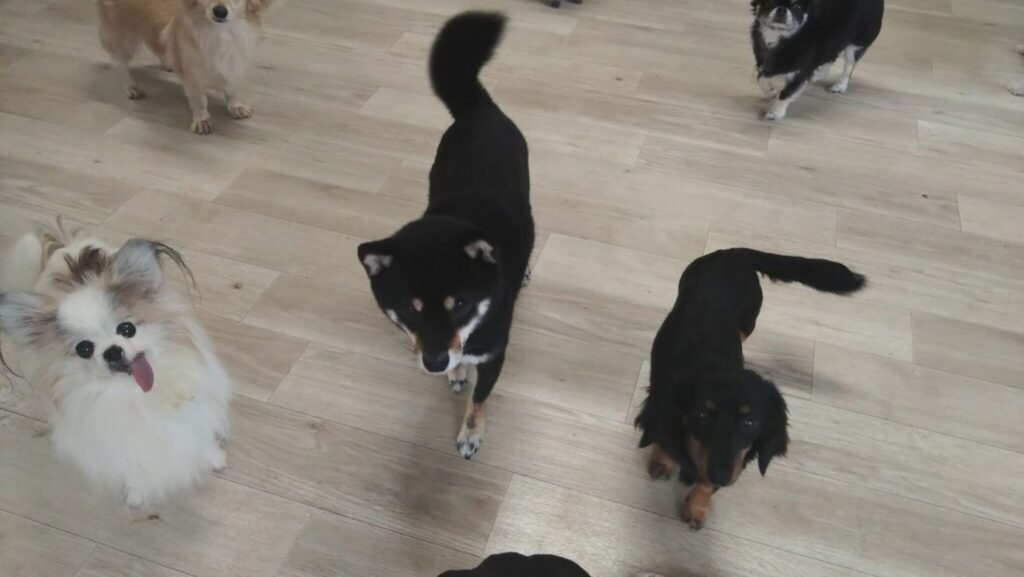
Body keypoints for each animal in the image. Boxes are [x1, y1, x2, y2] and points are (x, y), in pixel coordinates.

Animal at [0, 220, 232, 507]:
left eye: (127, 329)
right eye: (84, 348)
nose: (112, 351)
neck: (134, 393)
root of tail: (63, 243)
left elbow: (200, 436)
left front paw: (213, 458)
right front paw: (136, 494)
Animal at [95, 0, 267, 134]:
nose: (219, 11)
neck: (221, 34)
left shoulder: (235, 65)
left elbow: (232, 89)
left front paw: (236, 106)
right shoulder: (192, 75)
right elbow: (200, 100)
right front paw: (202, 120)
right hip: (123, 39)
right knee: (120, 64)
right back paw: (131, 87)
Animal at [356, 12, 534, 459]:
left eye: (461, 304)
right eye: (411, 308)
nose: (434, 363)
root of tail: (480, 108)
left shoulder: (495, 350)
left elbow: (480, 398)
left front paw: (471, 433)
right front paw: (455, 374)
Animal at [635, 248, 866, 529]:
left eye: (750, 422)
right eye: (701, 414)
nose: (721, 476)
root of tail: (733, 252)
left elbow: (705, 486)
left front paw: (697, 507)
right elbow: (666, 440)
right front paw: (662, 463)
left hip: (749, 318)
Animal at [751, 0, 884, 120]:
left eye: (797, 7)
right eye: (770, 2)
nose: (782, 9)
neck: (780, 39)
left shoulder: (800, 72)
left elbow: (786, 93)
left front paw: (775, 112)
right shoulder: (766, 64)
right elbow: (760, 78)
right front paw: (771, 92)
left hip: (854, 46)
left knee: (849, 67)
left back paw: (840, 85)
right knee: (830, 58)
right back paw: (819, 74)